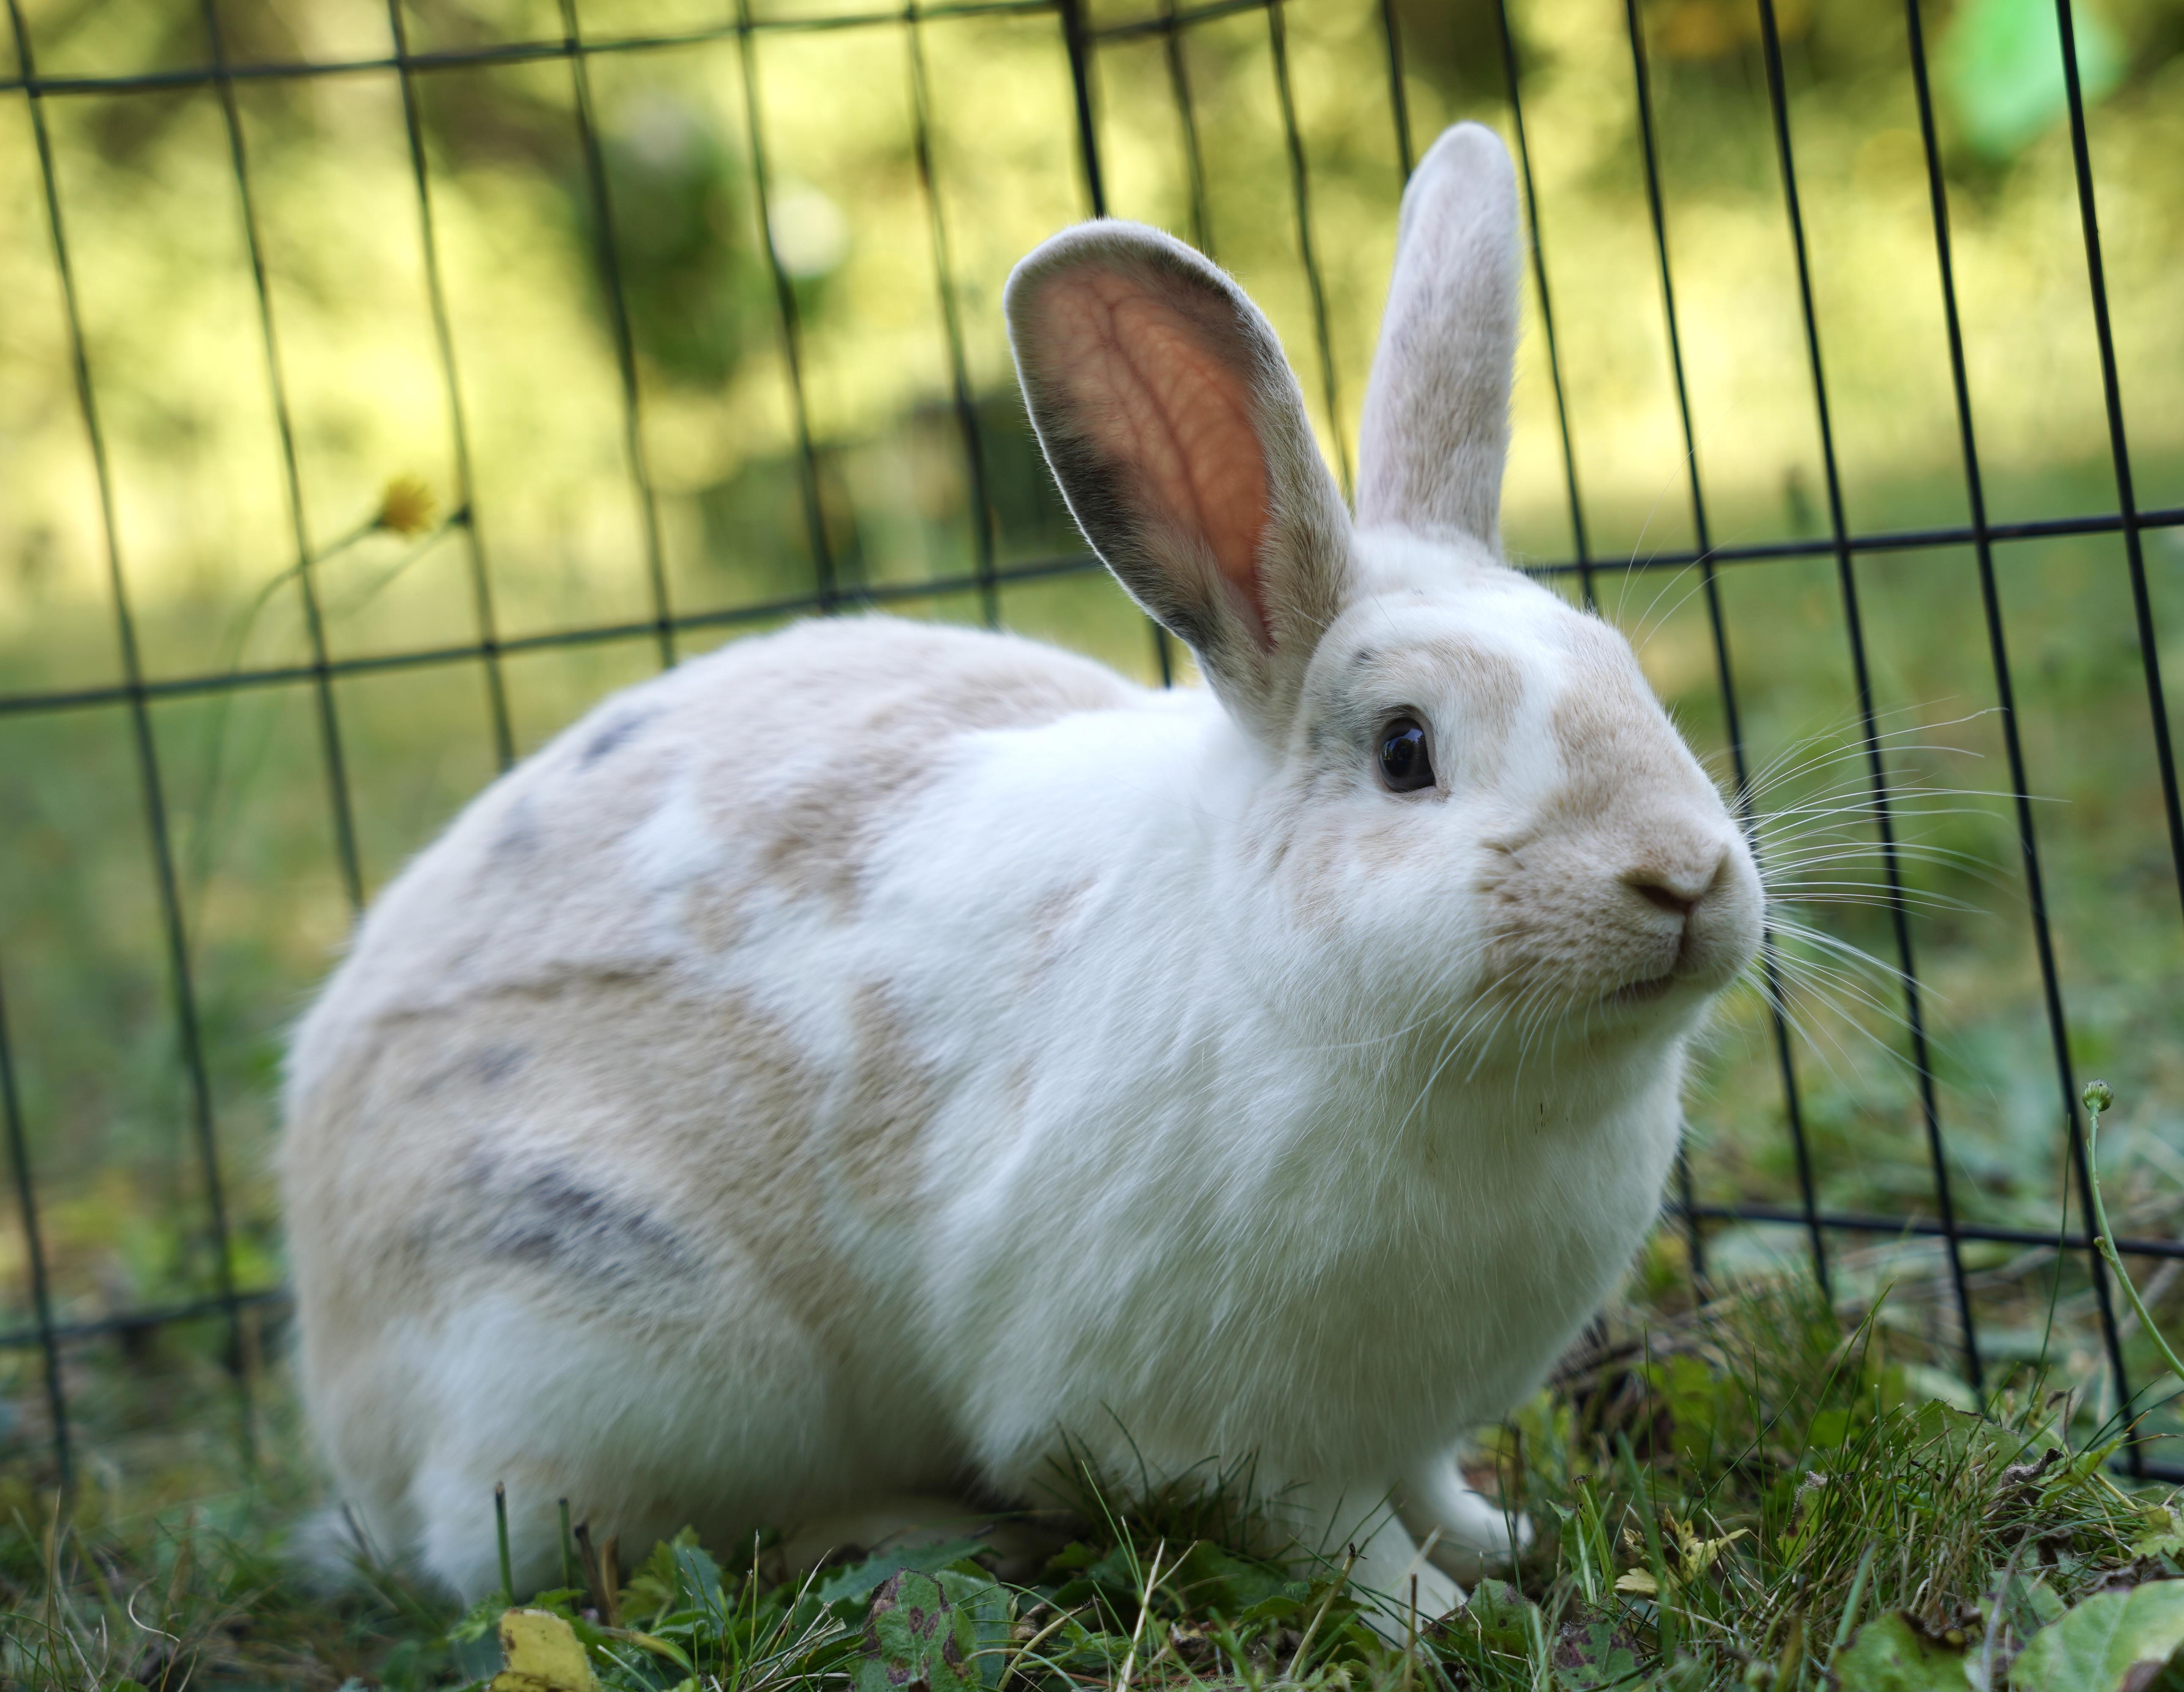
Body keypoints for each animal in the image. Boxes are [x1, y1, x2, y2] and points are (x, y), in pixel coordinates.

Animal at [280, 121, 1762, 1626]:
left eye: (1628, 674)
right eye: (1406, 751)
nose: (1683, 877)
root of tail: (353, 1418)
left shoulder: (1408, 1424)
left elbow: (1431, 1488)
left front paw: (1500, 1543)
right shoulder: (1228, 1430)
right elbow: (1343, 1536)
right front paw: (1442, 1618)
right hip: (603, 1341)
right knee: (585, 1546)